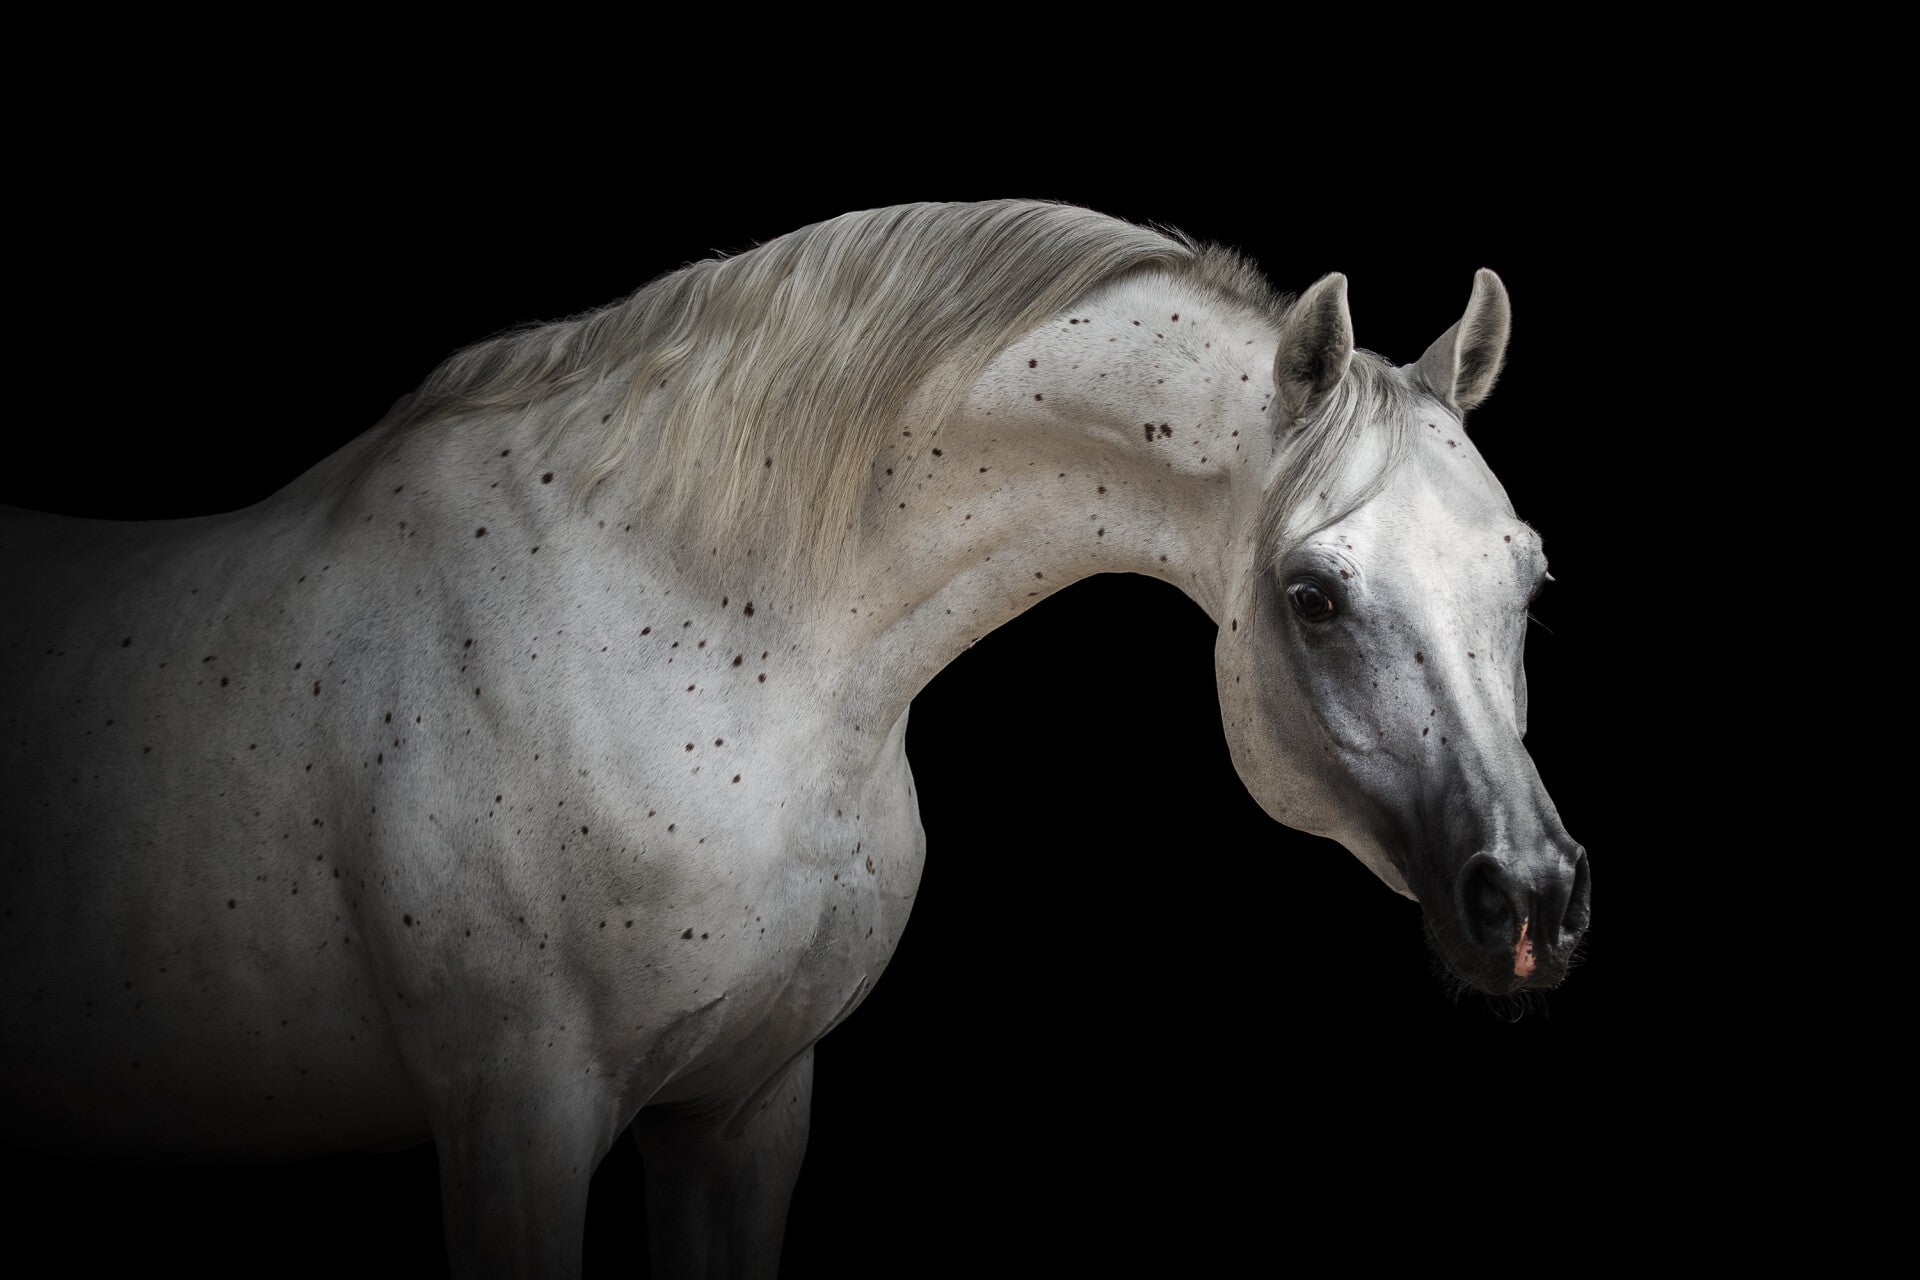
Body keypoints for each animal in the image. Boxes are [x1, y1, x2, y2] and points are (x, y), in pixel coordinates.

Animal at [0, 199, 1587, 1277]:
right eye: (1315, 595)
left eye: (1529, 575)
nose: (1533, 898)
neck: (685, 630)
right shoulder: (514, 1118)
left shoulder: (745, 1106)